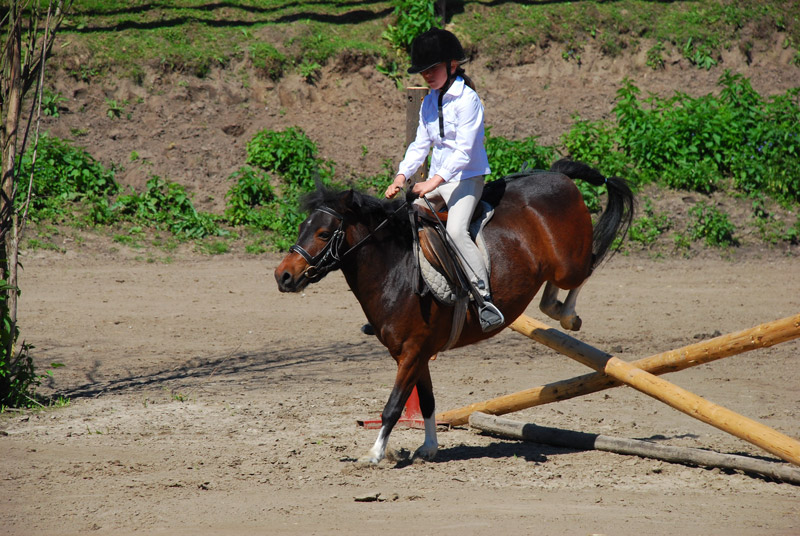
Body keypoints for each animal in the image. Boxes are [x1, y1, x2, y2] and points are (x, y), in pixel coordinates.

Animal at [272, 159, 636, 464]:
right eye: (302, 227)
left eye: (323, 233)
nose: (283, 276)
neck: (396, 268)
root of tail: (558, 175)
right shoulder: (416, 353)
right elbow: (427, 400)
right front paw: (429, 448)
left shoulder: (412, 352)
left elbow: (393, 406)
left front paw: (374, 455)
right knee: (555, 290)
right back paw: (557, 308)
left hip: (567, 264)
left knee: (586, 268)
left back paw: (567, 314)